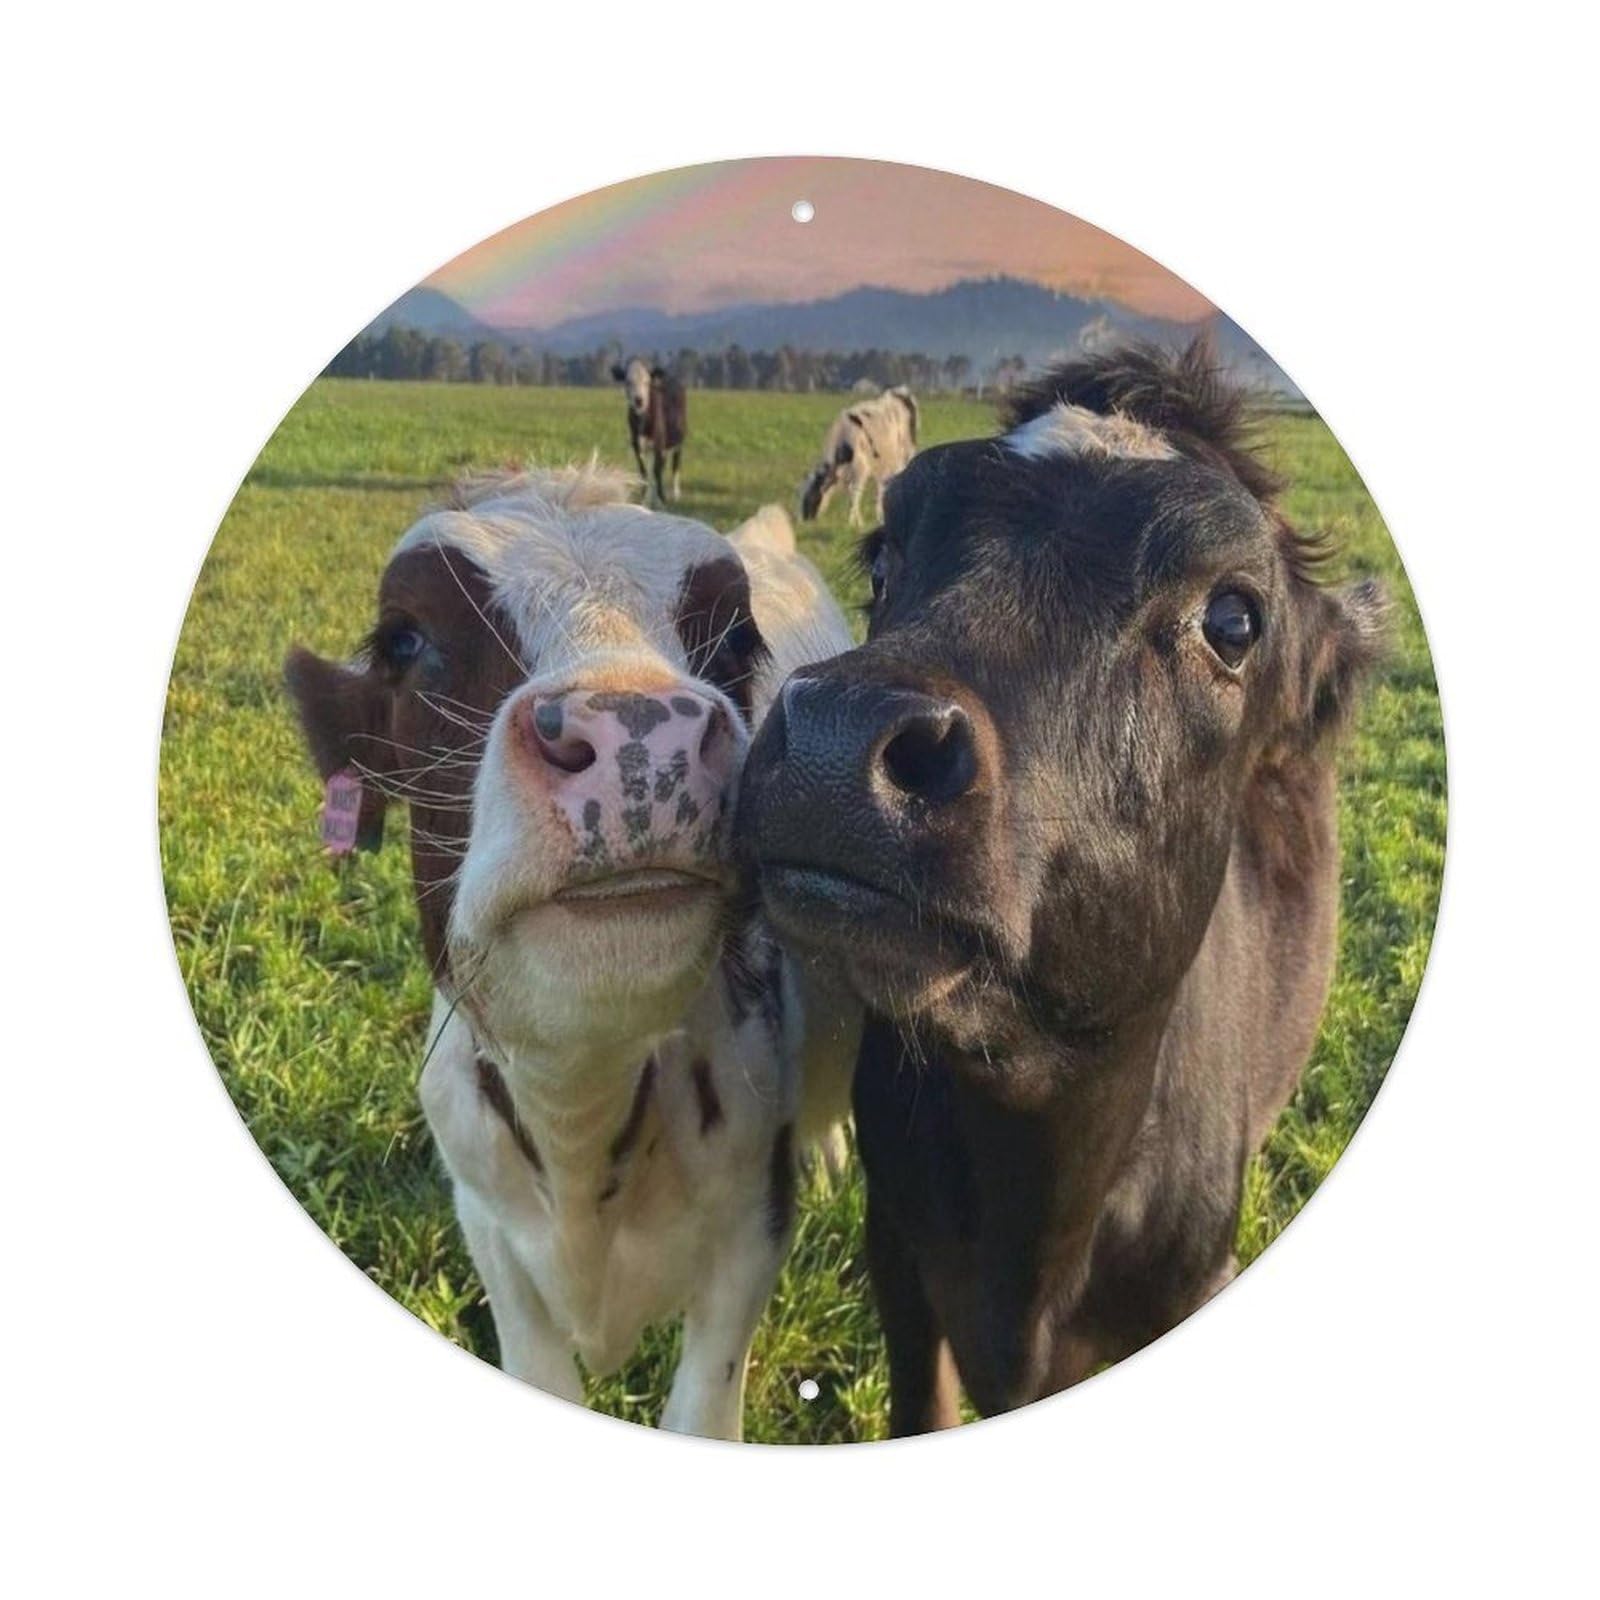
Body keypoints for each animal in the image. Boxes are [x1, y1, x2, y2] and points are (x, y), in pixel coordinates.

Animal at [611, 358, 687, 504]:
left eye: (647, 382)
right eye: (628, 382)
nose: (639, 400)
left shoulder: (659, 444)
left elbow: (657, 471)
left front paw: (662, 500)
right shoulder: (637, 445)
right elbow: (644, 473)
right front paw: (644, 501)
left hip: (678, 440)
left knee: (675, 465)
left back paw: (676, 494)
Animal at [798, 386, 919, 527]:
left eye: (812, 497)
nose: (803, 521)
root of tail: (898, 392)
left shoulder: (861, 469)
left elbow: (854, 496)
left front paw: (853, 523)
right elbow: (852, 495)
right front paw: (858, 521)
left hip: (905, 454)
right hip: (883, 463)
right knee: (882, 489)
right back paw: (880, 517)